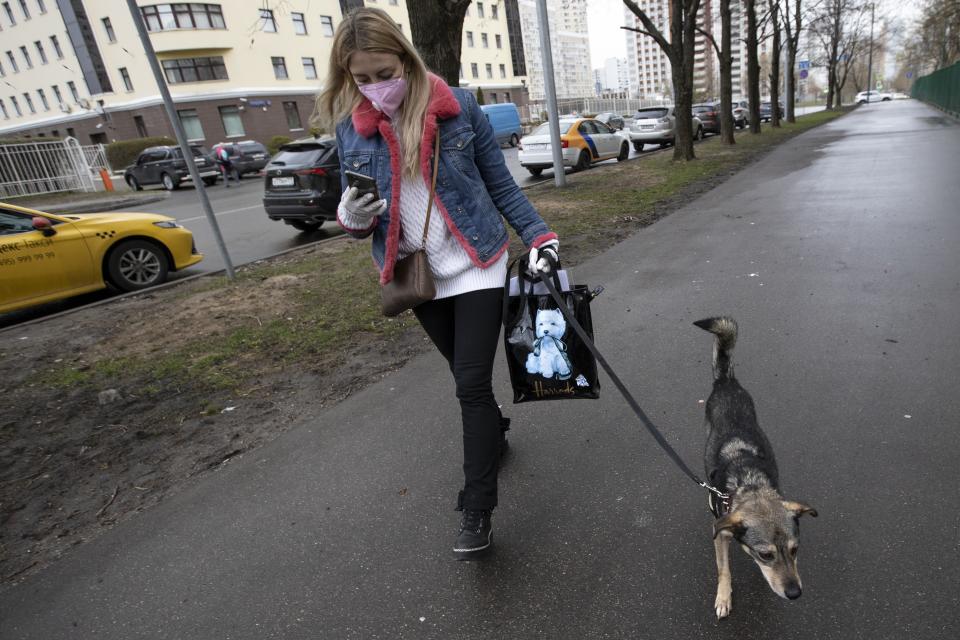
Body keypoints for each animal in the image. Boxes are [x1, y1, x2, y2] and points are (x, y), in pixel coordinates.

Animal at [688, 320, 816, 620]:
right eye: (765, 554)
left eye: (795, 550)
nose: (795, 593)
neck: (750, 485)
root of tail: (726, 381)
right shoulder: (721, 533)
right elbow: (723, 570)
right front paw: (724, 597)